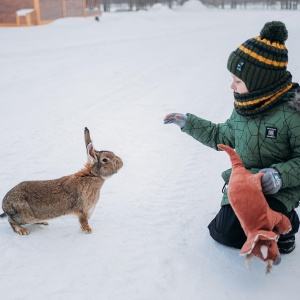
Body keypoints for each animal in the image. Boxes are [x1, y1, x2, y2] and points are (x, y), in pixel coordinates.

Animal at [218, 144, 290, 274]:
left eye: (270, 245)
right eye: (259, 256)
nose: (277, 261)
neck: (257, 227)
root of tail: (237, 168)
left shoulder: (272, 216)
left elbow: (281, 218)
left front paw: (286, 228)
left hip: (252, 178)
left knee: (259, 175)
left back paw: (268, 174)